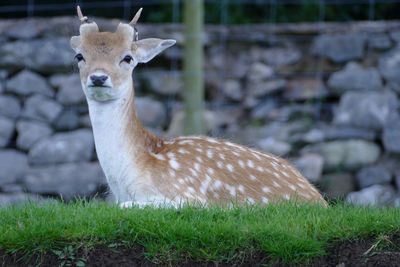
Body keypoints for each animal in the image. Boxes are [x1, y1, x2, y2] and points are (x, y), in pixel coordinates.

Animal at [71, 5, 328, 208]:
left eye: (127, 58)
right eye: (79, 56)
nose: (98, 78)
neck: (129, 179)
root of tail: (321, 200)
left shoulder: (188, 195)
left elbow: (125, 206)